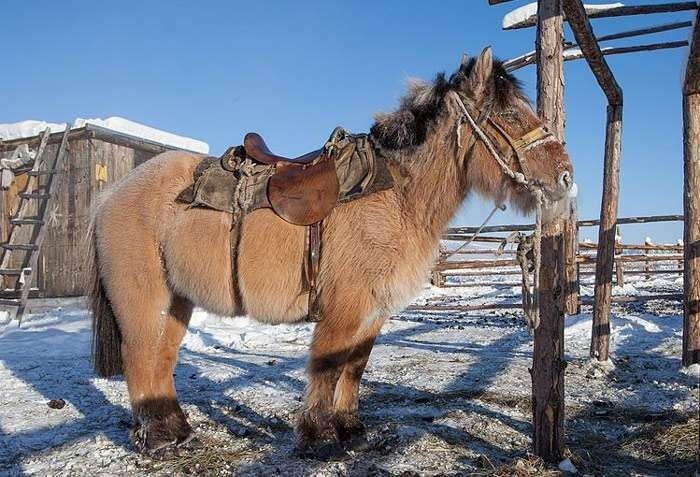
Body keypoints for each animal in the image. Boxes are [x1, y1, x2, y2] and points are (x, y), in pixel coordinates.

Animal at [87, 46, 576, 456]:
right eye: (509, 113)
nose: (566, 178)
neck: (394, 195)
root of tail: (111, 194)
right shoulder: (344, 308)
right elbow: (327, 366)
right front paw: (319, 435)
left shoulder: (374, 311)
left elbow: (354, 367)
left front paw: (349, 428)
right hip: (142, 299)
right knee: (139, 359)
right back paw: (156, 440)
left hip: (177, 301)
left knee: (161, 362)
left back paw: (178, 430)